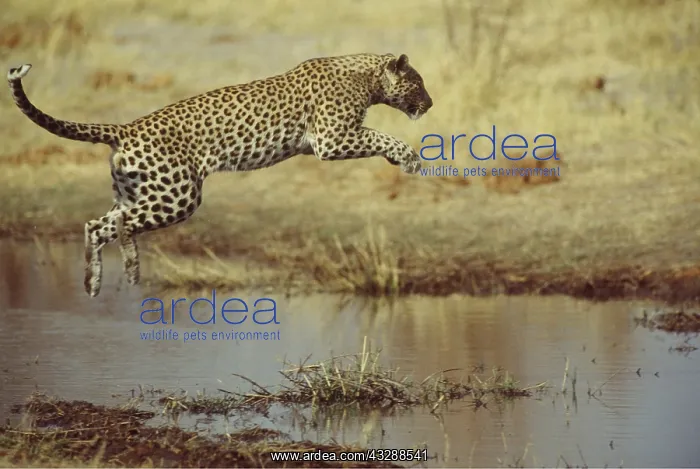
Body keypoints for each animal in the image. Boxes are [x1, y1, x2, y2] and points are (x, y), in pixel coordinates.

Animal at [6, 52, 433, 298]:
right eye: (418, 82)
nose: (430, 104)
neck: (367, 75)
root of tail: (125, 128)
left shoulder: (337, 138)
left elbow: (378, 136)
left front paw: (402, 159)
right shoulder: (332, 139)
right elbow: (382, 136)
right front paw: (408, 158)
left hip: (139, 190)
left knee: (97, 224)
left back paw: (97, 281)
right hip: (177, 195)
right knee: (117, 224)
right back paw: (125, 270)